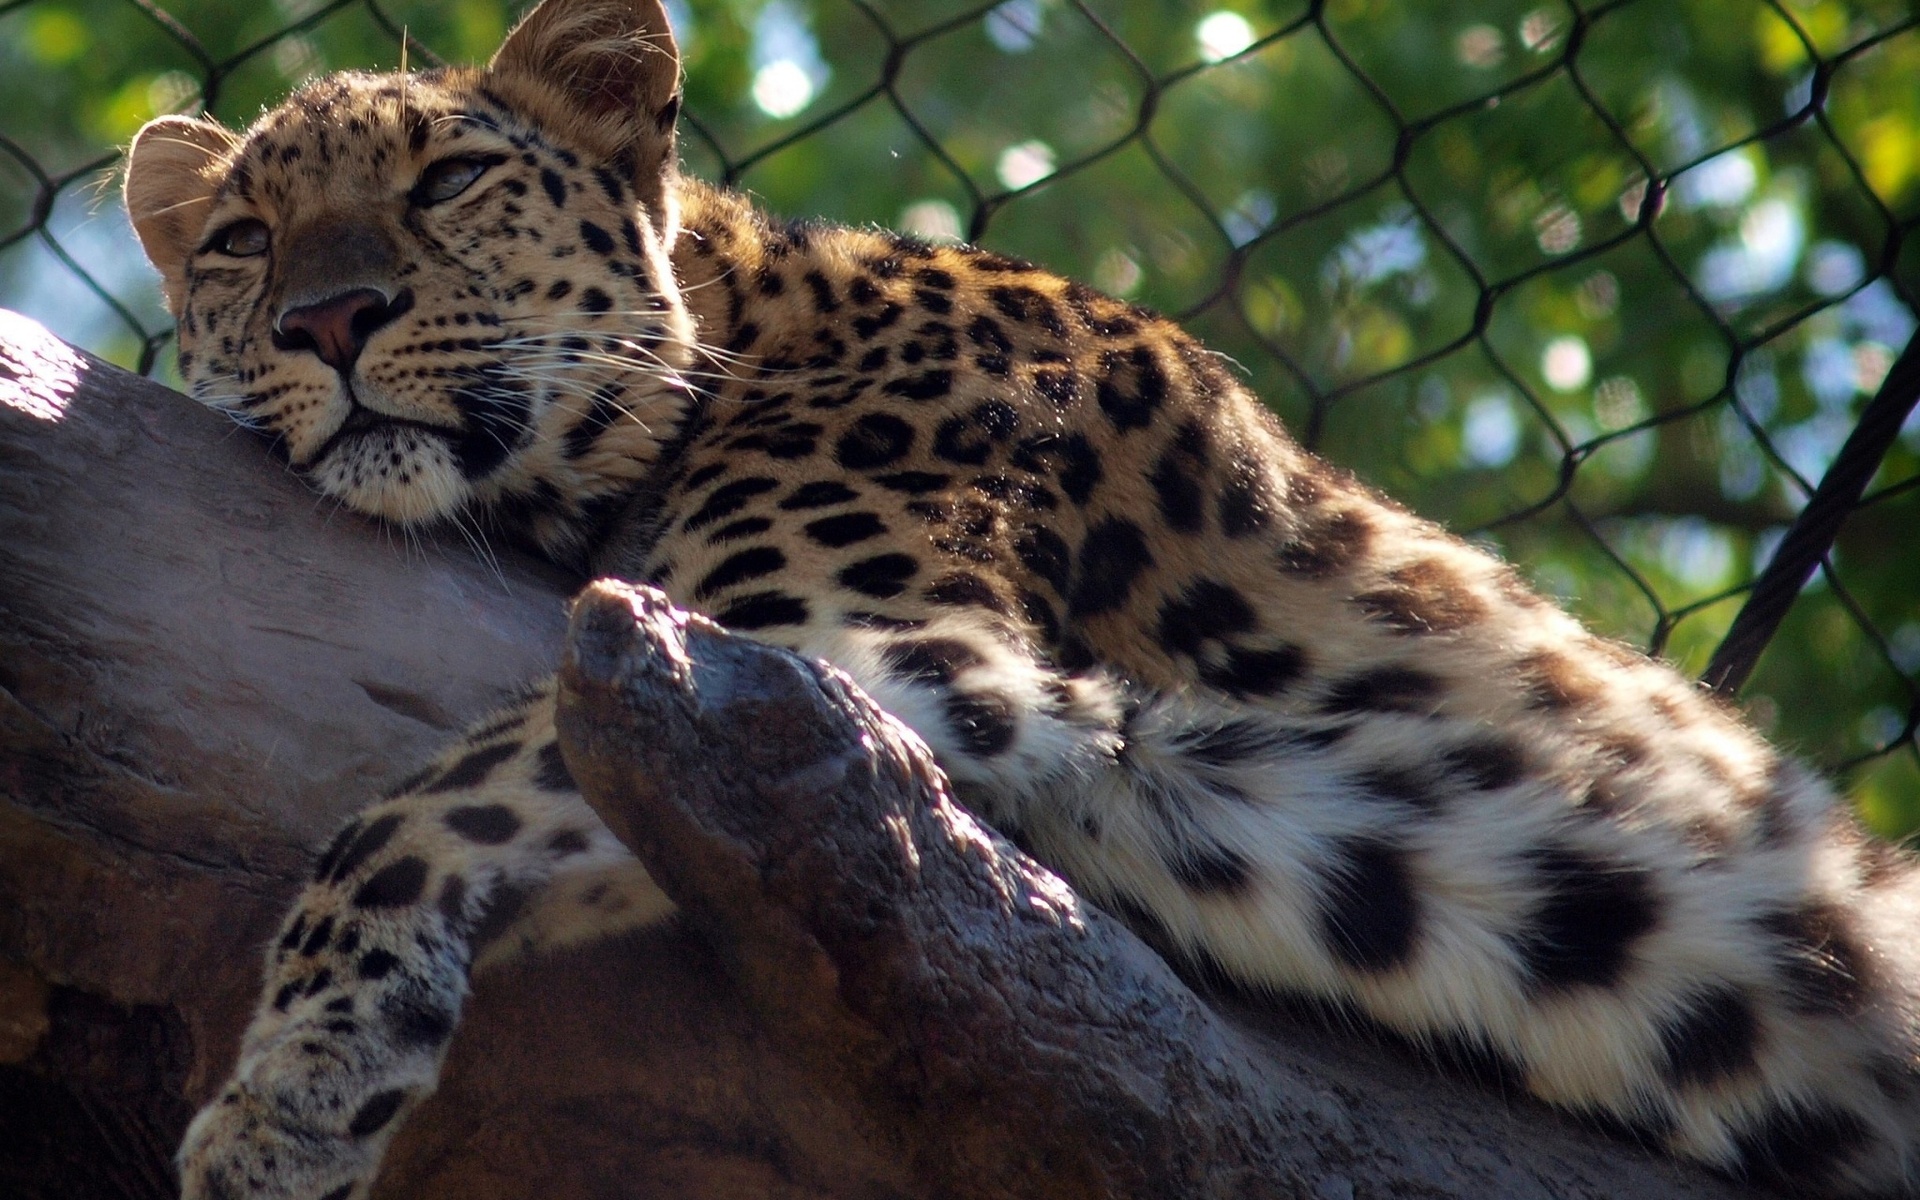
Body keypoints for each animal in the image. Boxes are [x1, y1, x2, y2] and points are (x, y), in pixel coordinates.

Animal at [120, 0, 1920, 1190]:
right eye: (241, 235)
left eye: (442, 184)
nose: (328, 321)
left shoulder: (817, 653)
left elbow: (426, 800)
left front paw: (292, 1087)